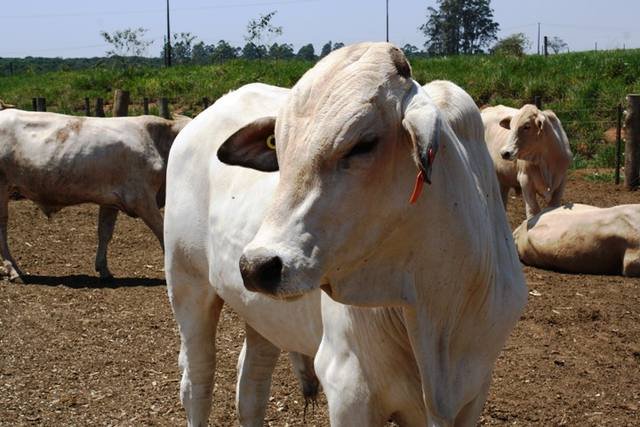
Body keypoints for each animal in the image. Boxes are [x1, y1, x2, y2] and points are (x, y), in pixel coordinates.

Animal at [0, 108, 190, 282]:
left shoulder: (111, 200)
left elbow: (105, 232)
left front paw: (103, 268)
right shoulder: (141, 199)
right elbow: (161, 231)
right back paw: (14, 270)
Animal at [218, 43, 528, 427]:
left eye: (363, 144)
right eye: (280, 145)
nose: (257, 266)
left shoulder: (474, 391)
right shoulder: (349, 389)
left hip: (261, 320)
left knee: (251, 383)